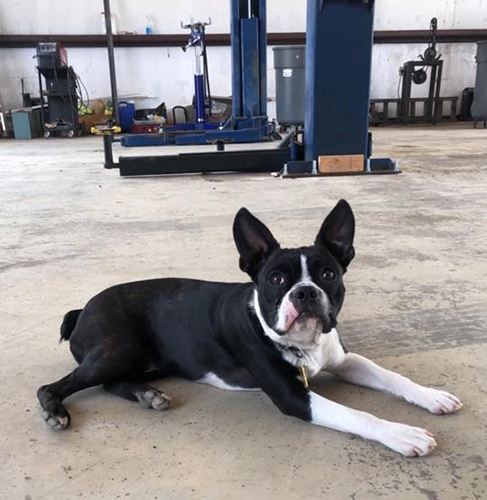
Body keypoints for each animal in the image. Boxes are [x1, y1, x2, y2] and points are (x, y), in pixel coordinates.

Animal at [37, 200, 462, 458]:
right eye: (275, 279)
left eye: (328, 274)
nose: (304, 292)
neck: (303, 344)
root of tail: (84, 308)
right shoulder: (295, 397)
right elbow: (360, 415)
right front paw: (403, 434)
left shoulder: (344, 360)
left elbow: (389, 375)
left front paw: (432, 396)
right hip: (118, 348)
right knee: (55, 386)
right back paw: (57, 411)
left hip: (144, 360)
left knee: (112, 382)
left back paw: (148, 395)